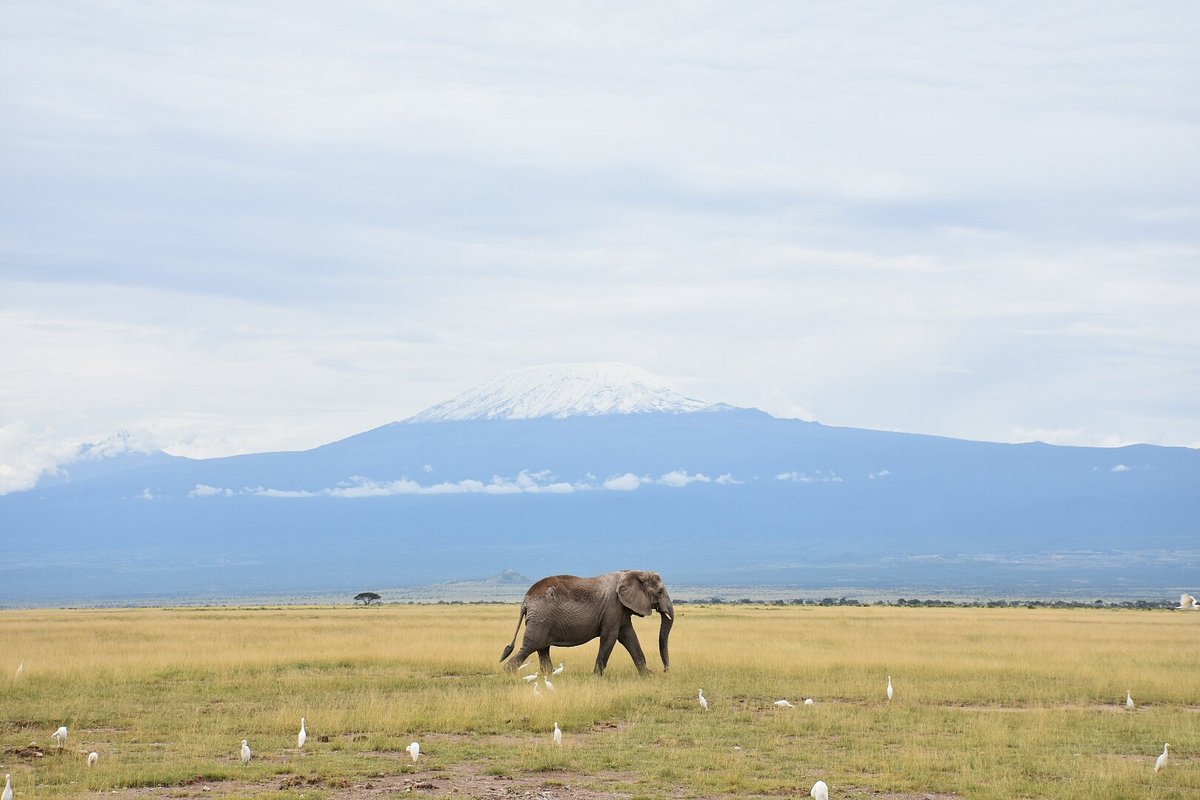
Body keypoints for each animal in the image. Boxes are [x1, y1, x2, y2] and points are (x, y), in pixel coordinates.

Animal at [499, 568, 676, 676]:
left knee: (542, 648)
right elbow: (610, 637)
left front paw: (648, 675)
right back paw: (508, 672)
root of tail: (525, 601)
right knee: (531, 645)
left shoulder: (621, 609)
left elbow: (629, 637)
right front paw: (596, 677)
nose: (665, 671)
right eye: (660, 592)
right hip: (541, 618)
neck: (633, 572)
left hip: (541, 620)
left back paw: (550, 675)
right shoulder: (613, 606)